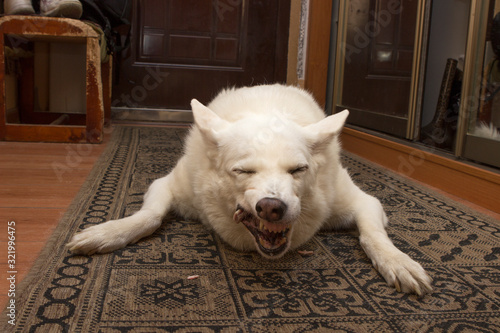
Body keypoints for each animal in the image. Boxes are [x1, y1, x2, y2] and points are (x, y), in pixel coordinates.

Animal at [68, 84, 432, 294]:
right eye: (243, 171)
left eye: (298, 170)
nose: (272, 207)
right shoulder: (167, 185)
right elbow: (149, 216)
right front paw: (108, 233)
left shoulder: (363, 202)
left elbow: (372, 235)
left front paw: (397, 261)